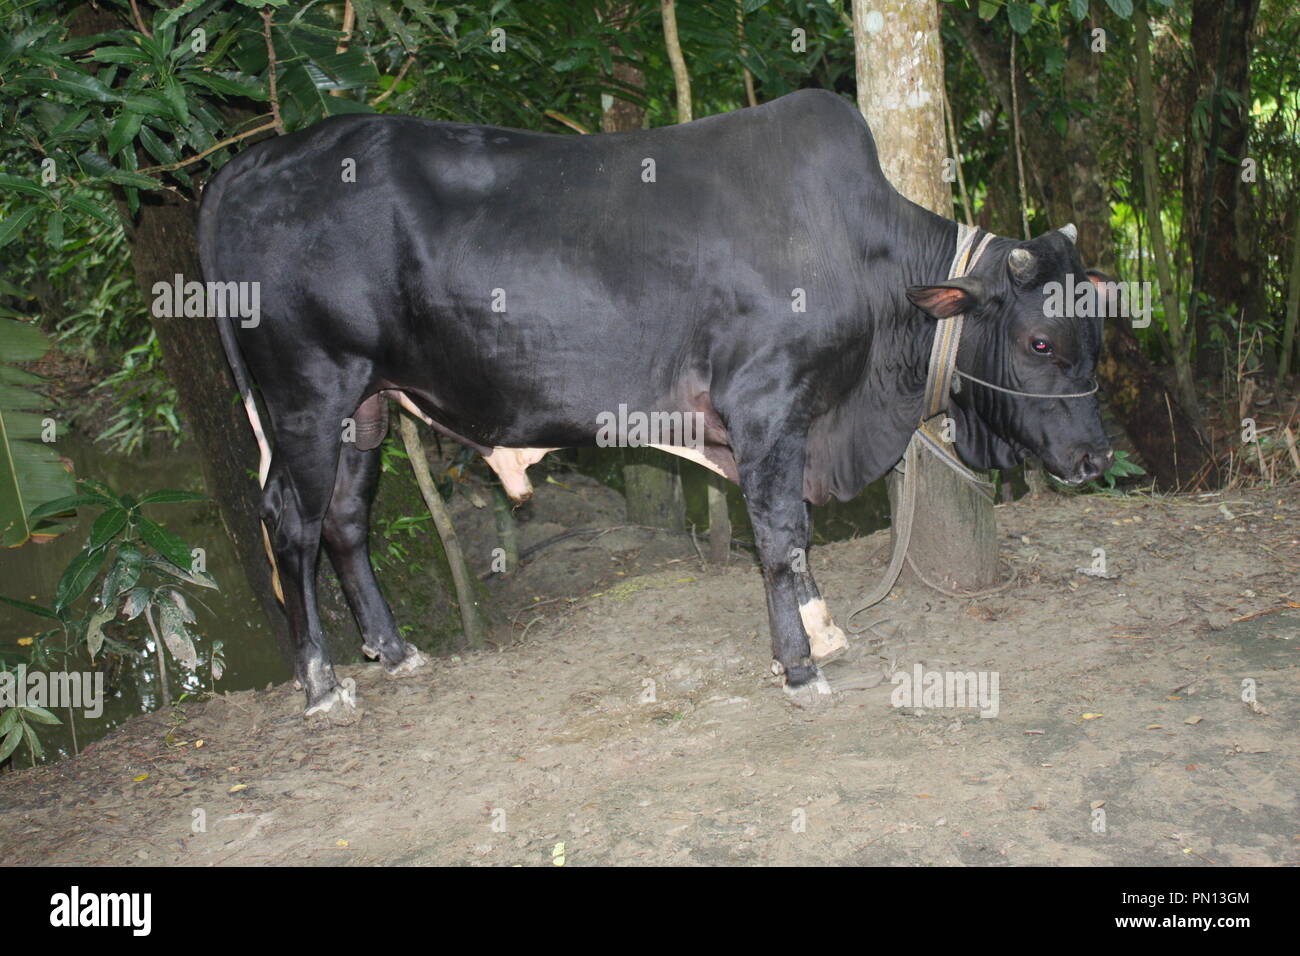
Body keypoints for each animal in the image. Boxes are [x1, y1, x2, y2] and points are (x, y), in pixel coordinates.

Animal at [197, 89, 1111, 718]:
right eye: (1040, 342)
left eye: (1096, 332)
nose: (1098, 455)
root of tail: (252, 160)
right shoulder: (766, 403)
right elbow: (780, 533)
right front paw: (800, 666)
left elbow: (793, 535)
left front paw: (821, 630)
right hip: (308, 388)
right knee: (290, 521)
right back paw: (321, 686)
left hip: (368, 402)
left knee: (346, 518)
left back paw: (394, 653)